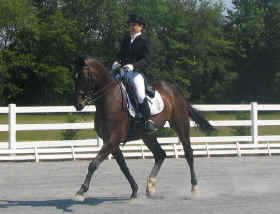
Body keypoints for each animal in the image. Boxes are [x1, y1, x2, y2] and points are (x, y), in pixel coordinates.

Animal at [72, 56, 214, 201]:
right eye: (75, 77)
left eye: (85, 77)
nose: (78, 104)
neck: (109, 99)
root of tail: (174, 90)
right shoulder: (110, 141)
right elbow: (123, 166)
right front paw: (134, 190)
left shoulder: (114, 139)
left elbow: (94, 164)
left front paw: (81, 192)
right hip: (147, 135)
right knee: (160, 155)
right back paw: (150, 187)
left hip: (180, 125)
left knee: (188, 154)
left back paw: (194, 189)